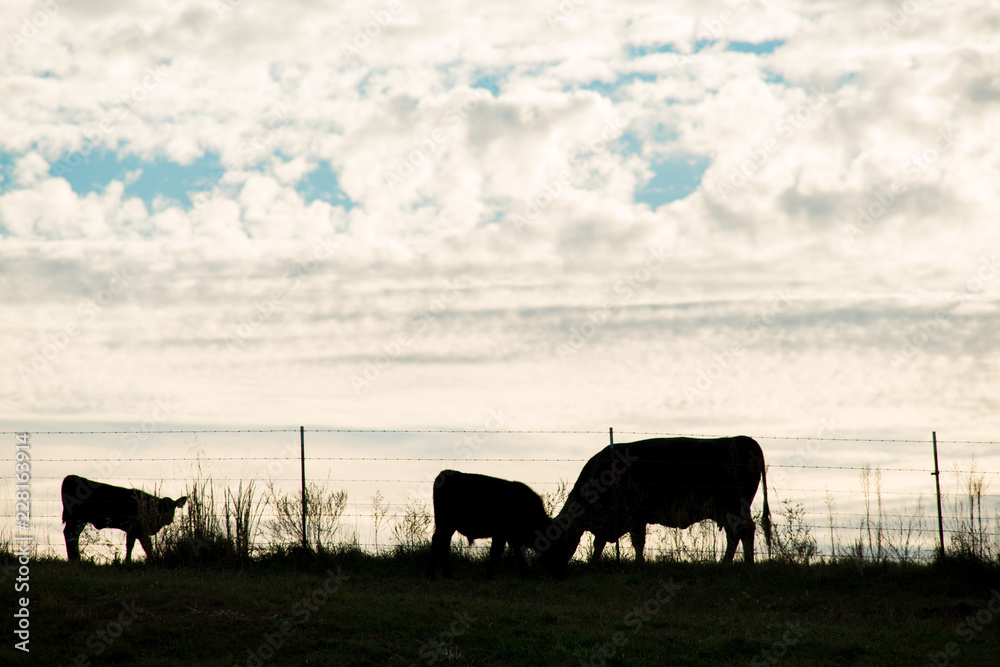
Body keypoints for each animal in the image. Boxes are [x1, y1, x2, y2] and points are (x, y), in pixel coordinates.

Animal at [60, 474, 188, 564]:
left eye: (173, 508)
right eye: (161, 508)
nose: (168, 518)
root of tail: (71, 477)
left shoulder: (140, 531)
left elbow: (147, 546)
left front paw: (152, 560)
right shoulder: (135, 527)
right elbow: (132, 545)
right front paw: (128, 561)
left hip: (78, 520)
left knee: (72, 535)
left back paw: (74, 558)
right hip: (77, 518)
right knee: (70, 534)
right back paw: (75, 558)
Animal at [426, 470, 560, 580]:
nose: (560, 575)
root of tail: (444, 473)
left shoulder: (506, 536)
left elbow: (507, 552)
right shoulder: (504, 535)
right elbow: (498, 552)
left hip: (447, 526)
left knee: (442, 543)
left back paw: (441, 575)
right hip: (445, 524)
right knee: (440, 542)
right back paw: (436, 575)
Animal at [540, 434, 772, 576]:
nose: (548, 567)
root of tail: (744, 440)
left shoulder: (632, 515)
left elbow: (635, 542)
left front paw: (635, 564)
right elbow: (605, 543)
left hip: (733, 505)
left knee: (743, 530)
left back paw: (744, 564)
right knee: (737, 533)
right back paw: (730, 563)